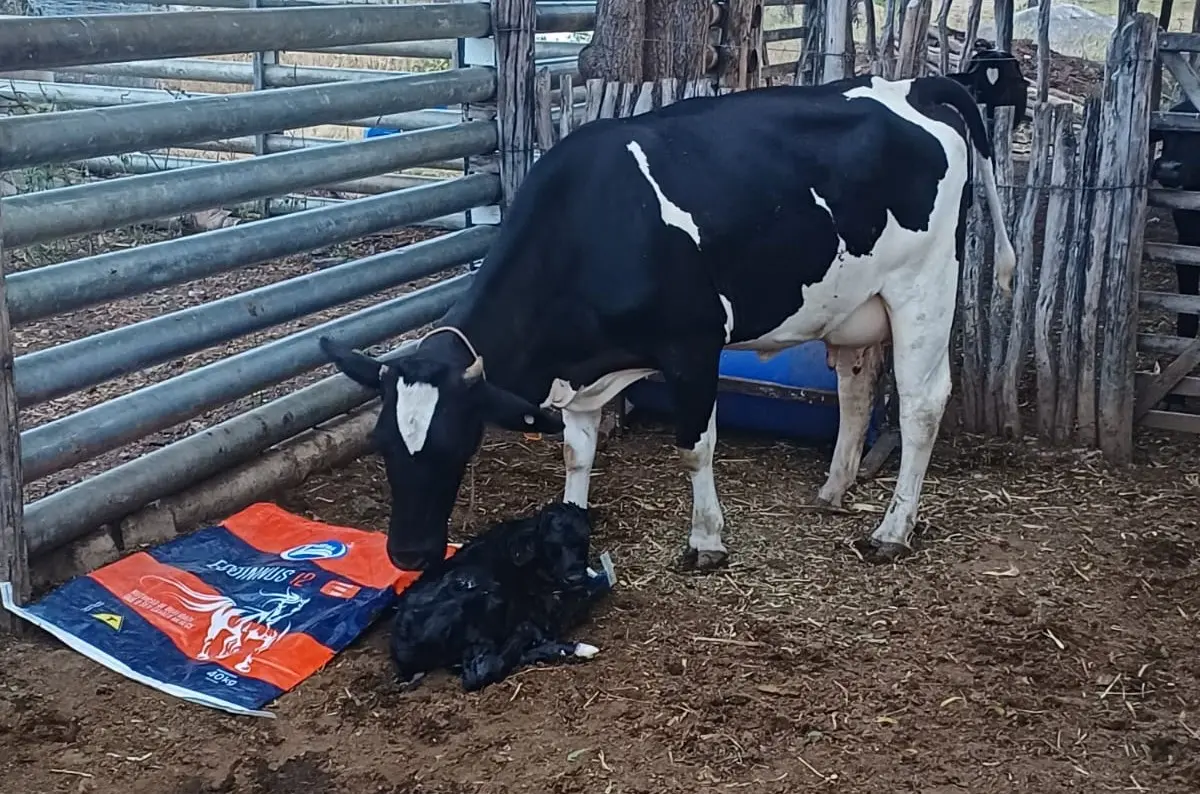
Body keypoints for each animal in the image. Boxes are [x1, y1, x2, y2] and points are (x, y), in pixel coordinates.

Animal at [318, 71, 1016, 573]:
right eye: (381, 444)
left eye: (457, 443)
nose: (408, 554)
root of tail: (915, 86)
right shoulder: (583, 369)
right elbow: (576, 450)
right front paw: (569, 520)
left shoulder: (694, 345)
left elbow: (695, 446)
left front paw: (706, 541)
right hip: (854, 302)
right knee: (856, 389)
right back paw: (832, 491)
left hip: (924, 287)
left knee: (923, 404)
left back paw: (892, 530)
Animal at [389, 501, 612, 692]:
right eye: (551, 545)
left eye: (584, 540)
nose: (575, 577)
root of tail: (400, 646)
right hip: (479, 592)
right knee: (480, 672)